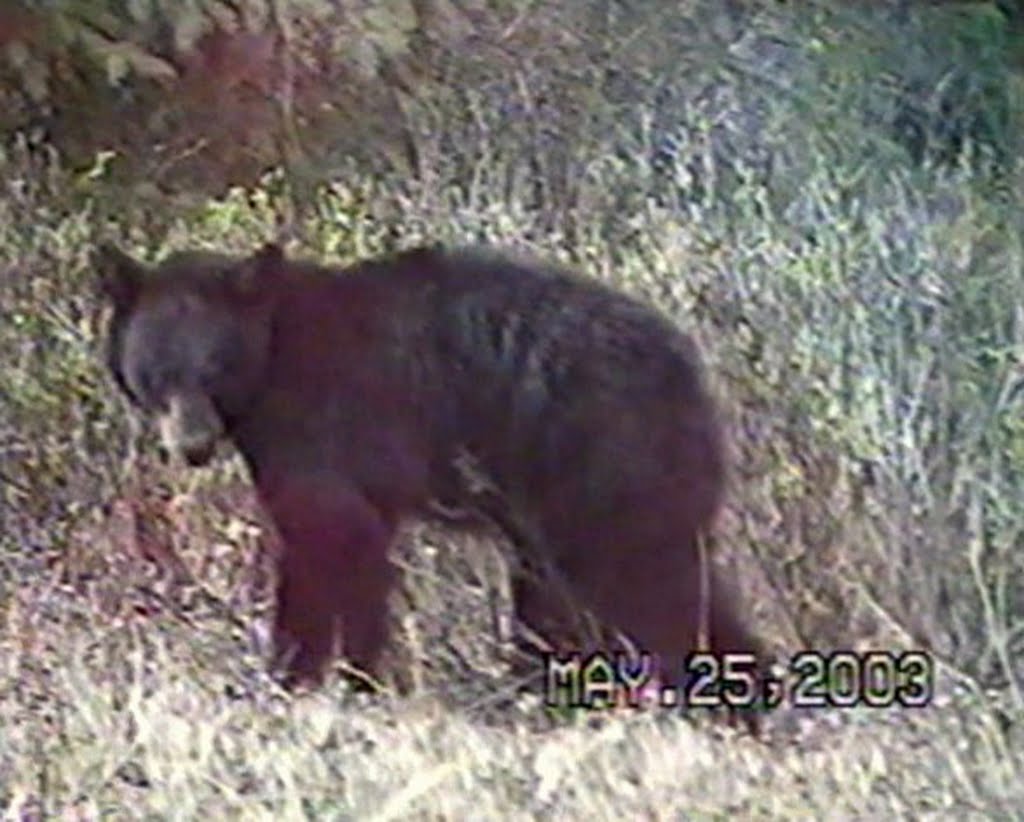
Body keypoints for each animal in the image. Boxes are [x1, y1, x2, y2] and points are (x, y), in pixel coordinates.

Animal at [96, 241, 770, 728]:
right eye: (158, 371)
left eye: (216, 366)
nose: (192, 446)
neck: (275, 360)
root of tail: (688, 365)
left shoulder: (325, 430)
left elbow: (327, 544)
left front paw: (308, 677)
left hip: (601, 456)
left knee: (647, 578)